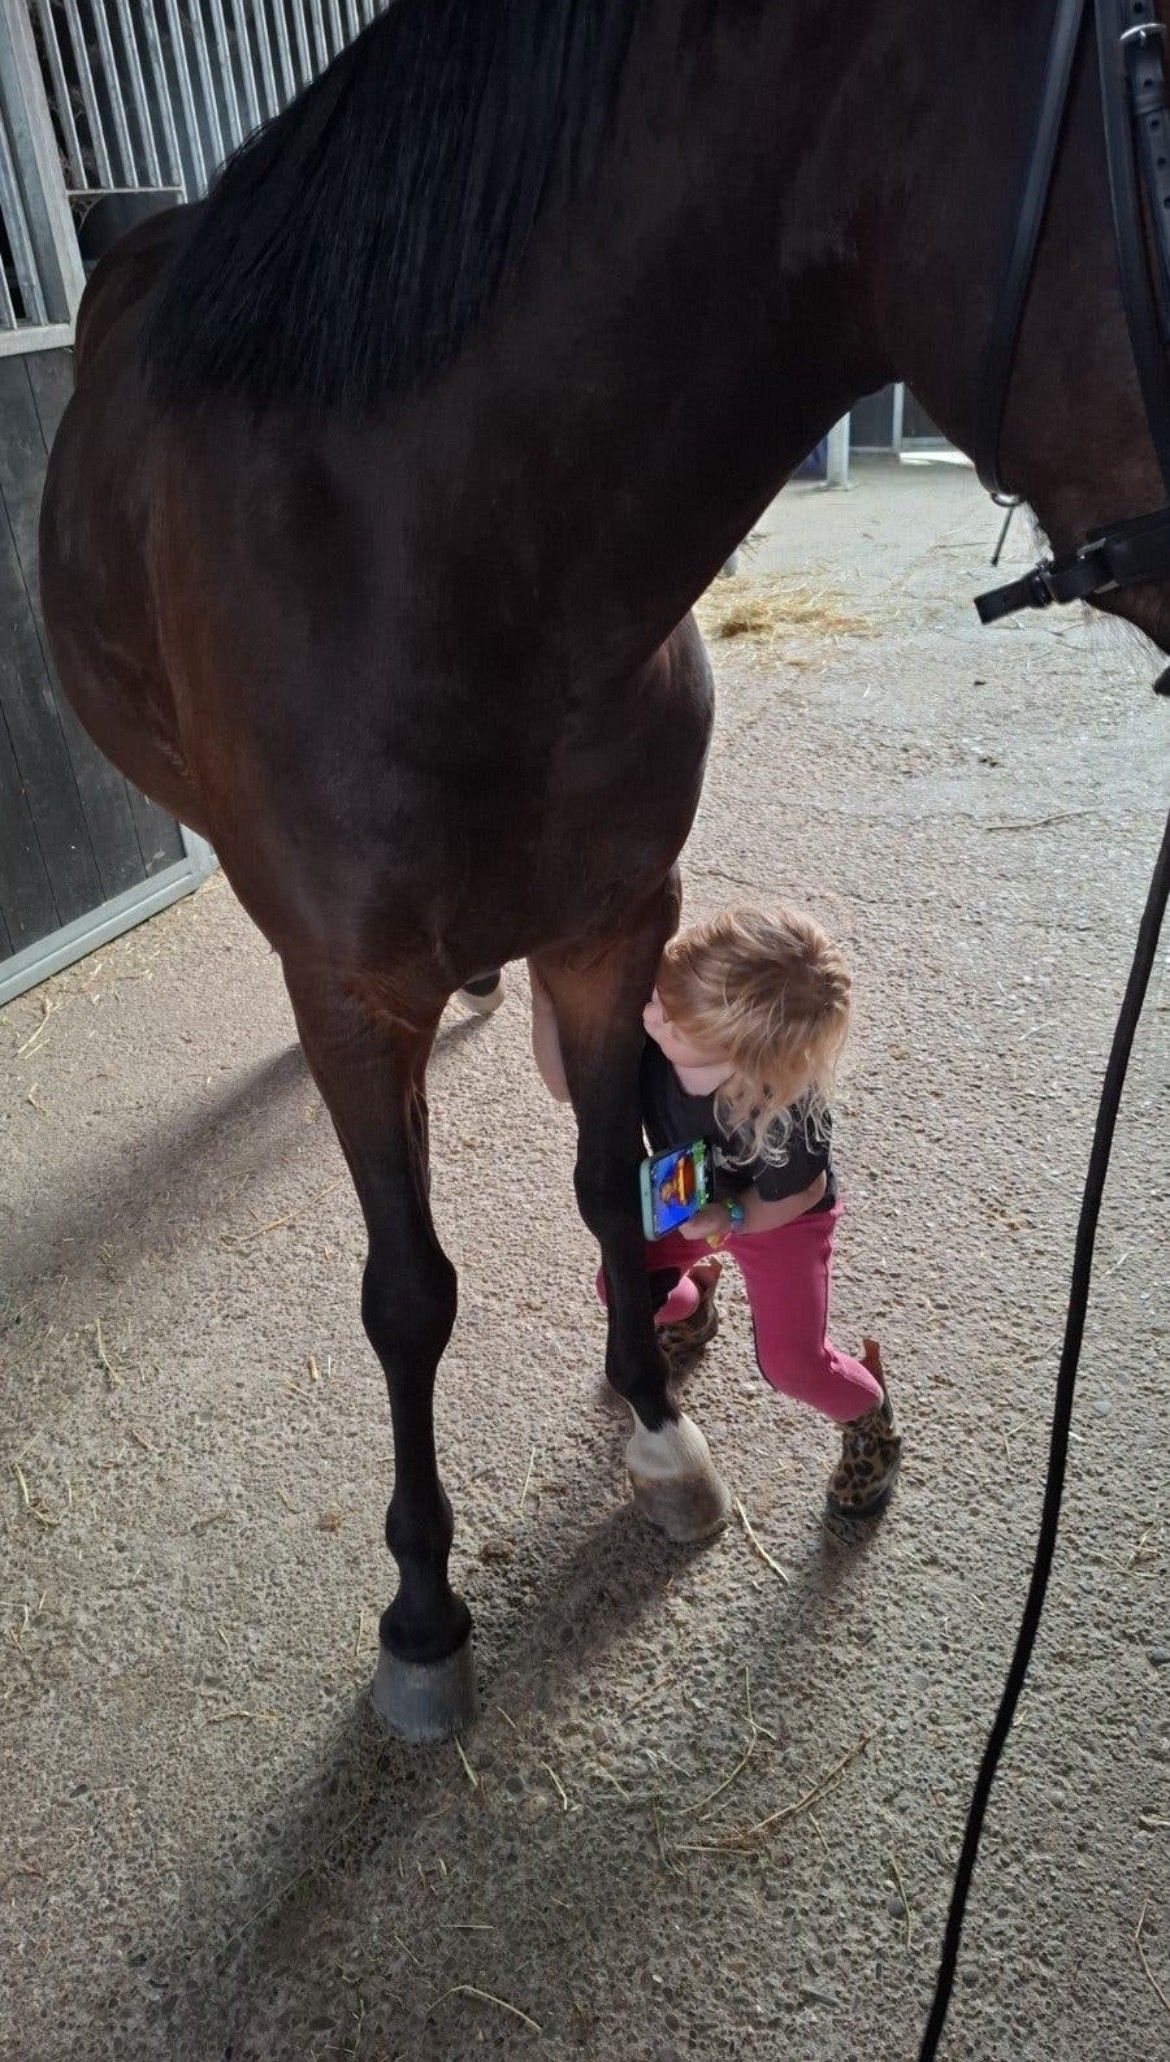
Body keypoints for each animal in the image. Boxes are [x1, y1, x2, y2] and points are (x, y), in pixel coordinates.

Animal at [38, 0, 1170, 1744]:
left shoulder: (615, 923)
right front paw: (423, 1615)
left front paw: (655, 1432)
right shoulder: (350, 991)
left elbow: (602, 1177)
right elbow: (408, 1291)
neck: (436, 555)